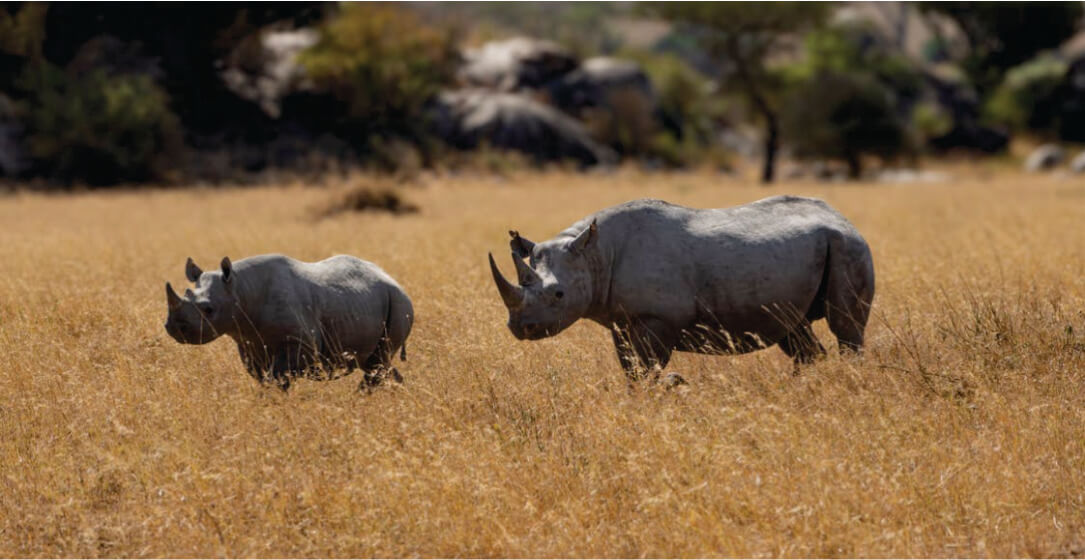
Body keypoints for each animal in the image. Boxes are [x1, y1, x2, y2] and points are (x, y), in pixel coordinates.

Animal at [164, 254, 413, 391]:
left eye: (209, 310)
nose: (174, 329)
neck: (240, 289)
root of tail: (393, 280)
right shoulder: (248, 343)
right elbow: (264, 378)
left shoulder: (299, 343)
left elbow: (276, 377)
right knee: (375, 363)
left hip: (399, 302)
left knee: (378, 361)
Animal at [488, 196, 875, 380]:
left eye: (558, 295)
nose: (521, 329)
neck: (595, 253)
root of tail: (843, 218)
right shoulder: (621, 321)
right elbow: (631, 369)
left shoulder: (658, 319)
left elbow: (649, 368)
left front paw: (667, 387)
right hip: (822, 249)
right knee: (794, 330)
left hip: (848, 246)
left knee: (846, 327)